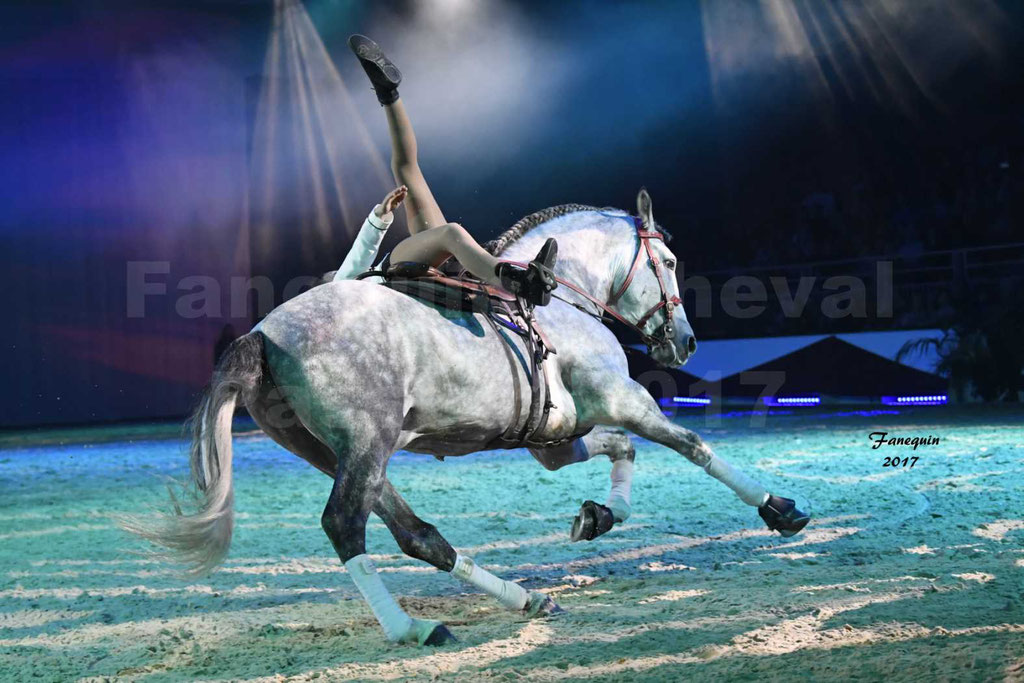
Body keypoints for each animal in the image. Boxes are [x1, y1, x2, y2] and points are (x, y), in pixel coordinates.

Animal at [130, 191, 806, 647]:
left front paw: (598, 515)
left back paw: (524, 598)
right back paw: (412, 626)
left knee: (416, 535)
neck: (559, 298)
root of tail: (264, 334)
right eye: (665, 260)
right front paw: (779, 508)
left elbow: (622, 450)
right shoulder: (624, 399)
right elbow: (690, 445)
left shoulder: (555, 440)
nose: (685, 341)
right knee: (347, 525)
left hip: (332, 450)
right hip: (368, 444)